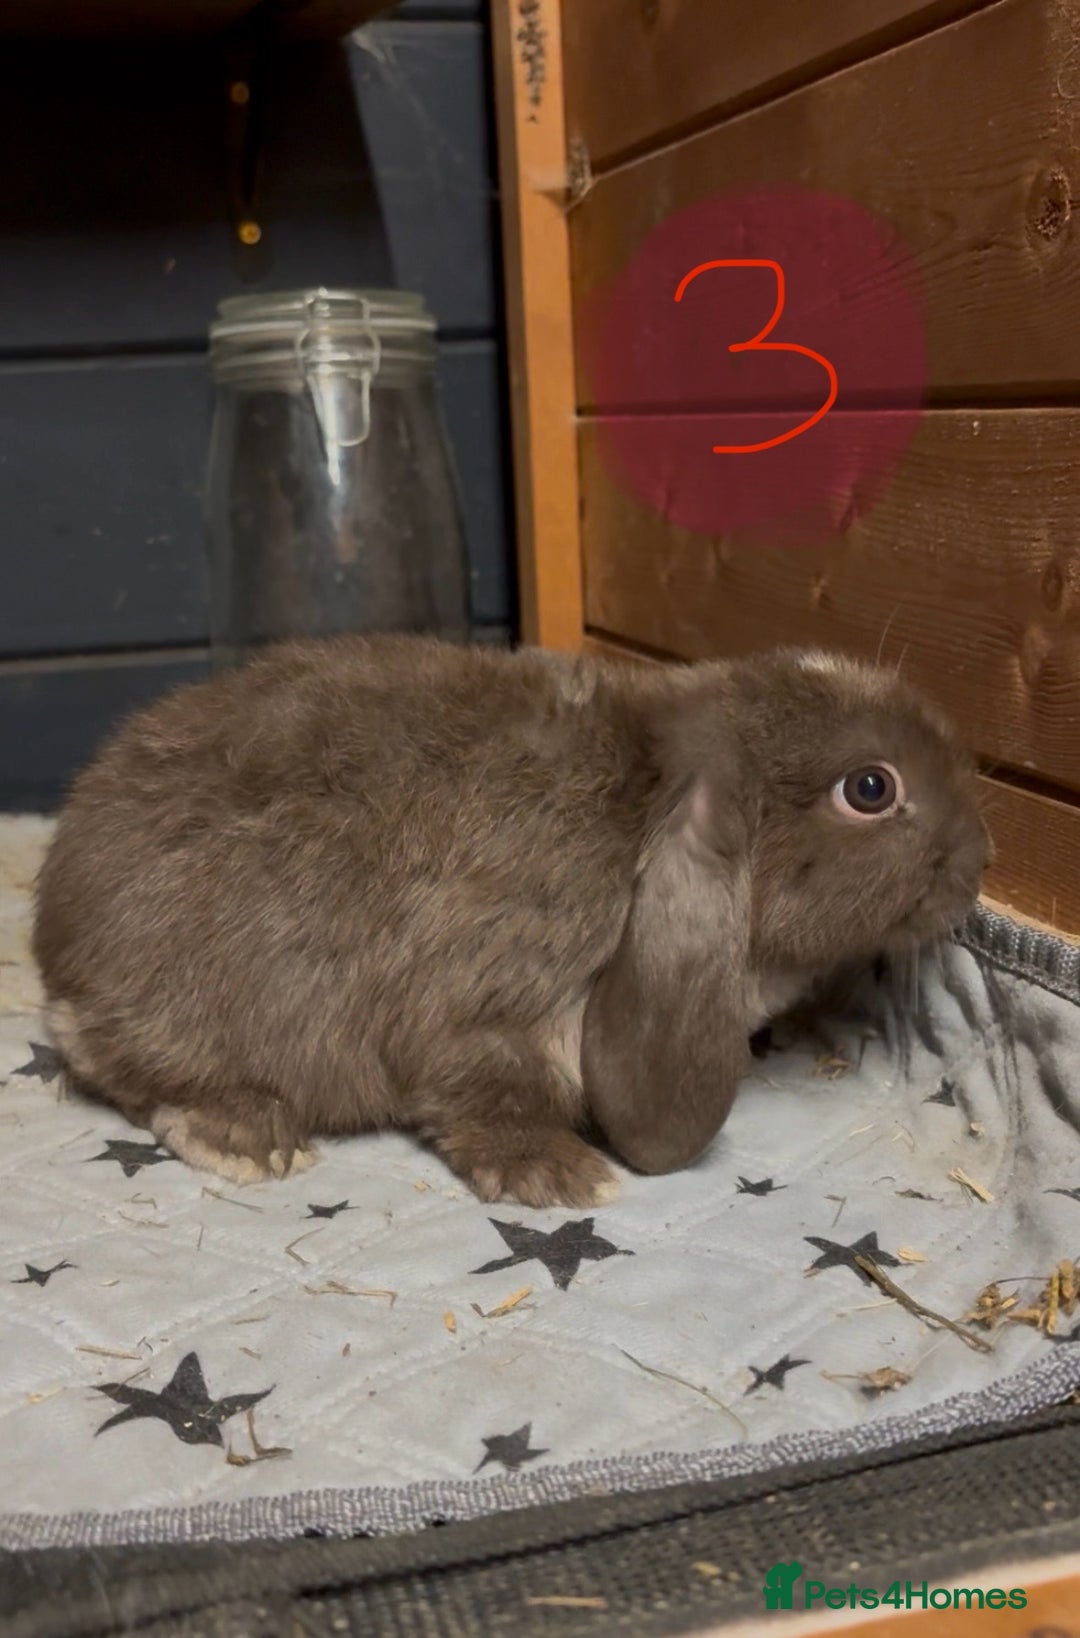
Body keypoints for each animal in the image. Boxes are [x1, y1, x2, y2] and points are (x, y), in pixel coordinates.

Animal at [32, 635, 990, 1209]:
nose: (978, 861)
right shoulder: (488, 1000)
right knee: (105, 1056)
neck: (644, 806)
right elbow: (486, 1092)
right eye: (871, 787)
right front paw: (561, 1176)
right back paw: (246, 1135)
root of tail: (56, 926)